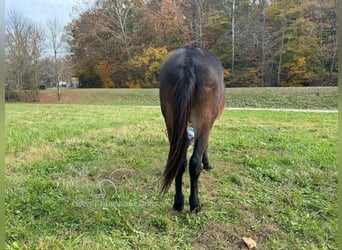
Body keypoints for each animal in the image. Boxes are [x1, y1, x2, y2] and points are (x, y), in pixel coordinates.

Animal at [159, 45, 226, 213]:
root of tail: (188, 59)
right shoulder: (209, 124)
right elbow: (205, 146)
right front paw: (207, 163)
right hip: (203, 120)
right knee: (194, 163)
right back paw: (195, 204)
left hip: (171, 121)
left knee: (180, 161)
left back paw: (178, 202)